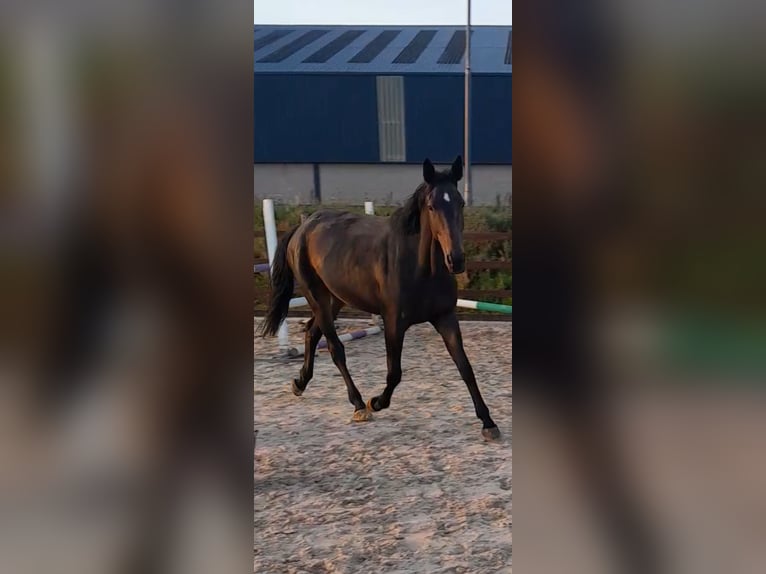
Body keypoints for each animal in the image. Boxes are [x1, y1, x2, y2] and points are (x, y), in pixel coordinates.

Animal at [260, 158, 504, 440]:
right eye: (432, 206)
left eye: (460, 202)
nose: (456, 260)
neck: (420, 268)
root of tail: (303, 227)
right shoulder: (394, 322)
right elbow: (394, 373)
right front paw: (375, 402)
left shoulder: (445, 318)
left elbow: (465, 367)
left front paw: (488, 422)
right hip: (316, 296)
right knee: (335, 348)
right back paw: (358, 404)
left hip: (335, 299)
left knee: (311, 332)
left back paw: (299, 383)